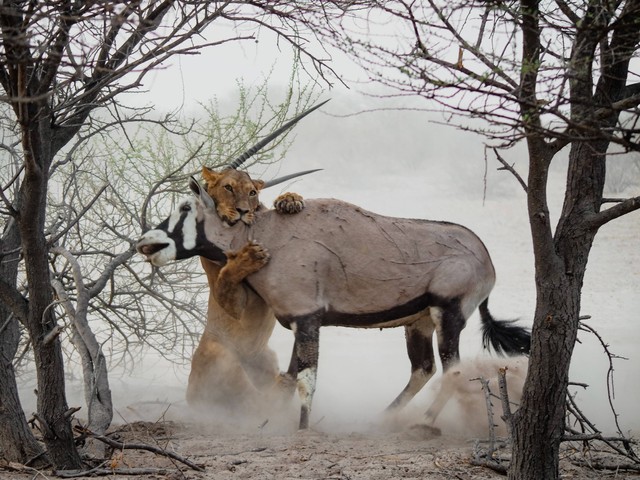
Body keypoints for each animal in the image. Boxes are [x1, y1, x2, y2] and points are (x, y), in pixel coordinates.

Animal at [139, 178, 528, 430]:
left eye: (185, 206)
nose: (146, 241)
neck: (265, 233)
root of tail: (486, 258)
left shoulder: (308, 320)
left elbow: (306, 379)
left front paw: (302, 429)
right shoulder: (299, 322)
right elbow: (288, 378)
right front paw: (275, 422)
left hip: (449, 314)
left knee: (453, 371)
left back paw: (424, 422)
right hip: (418, 322)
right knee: (423, 368)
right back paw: (383, 418)